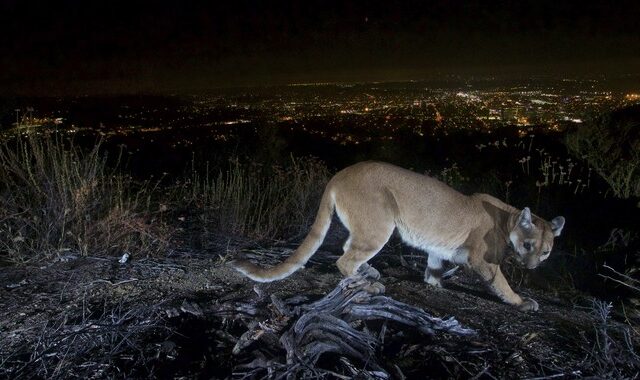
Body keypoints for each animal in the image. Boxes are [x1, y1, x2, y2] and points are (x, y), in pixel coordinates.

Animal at [231, 161, 564, 312]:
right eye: (528, 245)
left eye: (546, 251)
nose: (532, 266)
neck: (507, 218)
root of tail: (339, 174)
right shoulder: (483, 260)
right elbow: (501, 282)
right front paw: (521, 302)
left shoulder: (438, 246)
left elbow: (434, 264)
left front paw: (434, 283)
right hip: (380, 225)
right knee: (344, 259)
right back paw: (370, 283)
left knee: (347, 247)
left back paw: (370, 271)